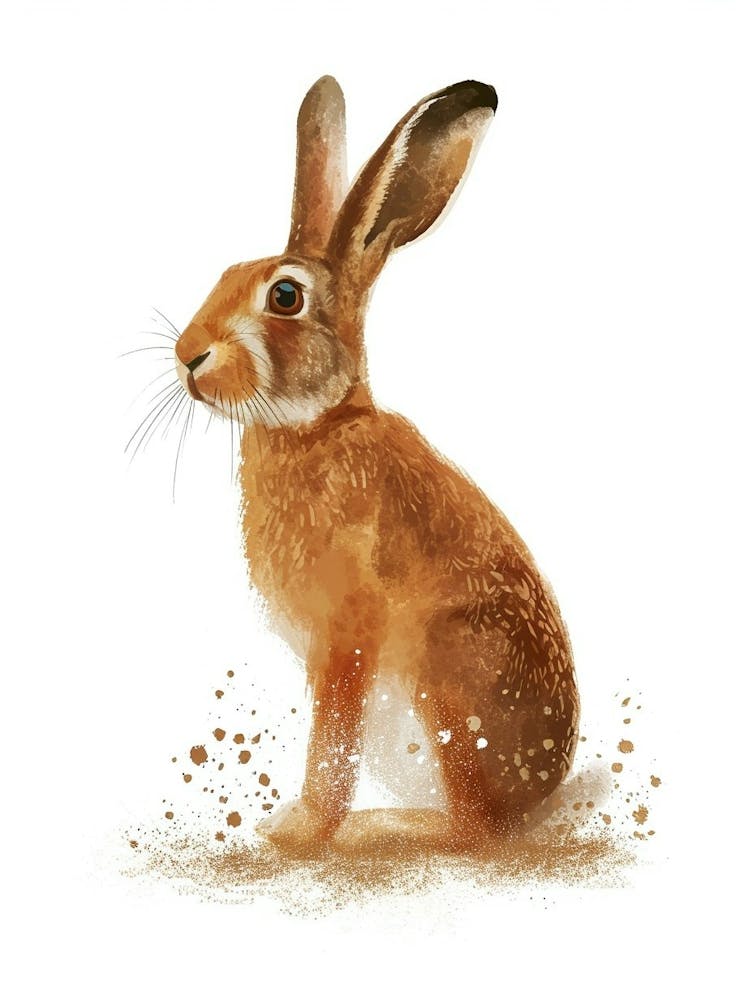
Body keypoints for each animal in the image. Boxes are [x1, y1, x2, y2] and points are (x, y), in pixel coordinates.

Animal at [173, 76, 579, 852]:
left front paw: (300, 833)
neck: (319, 425)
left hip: (447, 677)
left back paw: (389, 827)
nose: (188, 357)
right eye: (224, 273)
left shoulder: (347, 633)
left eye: (285, 296)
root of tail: (541, 789)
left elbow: (332, 740)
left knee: (473, 831)